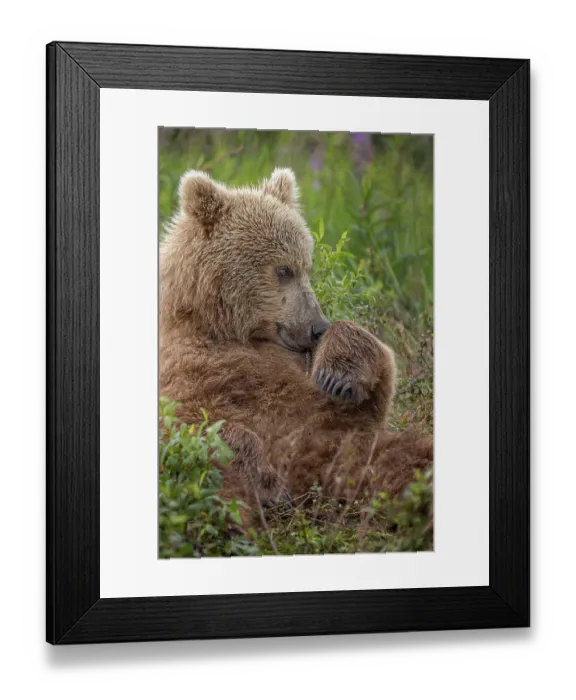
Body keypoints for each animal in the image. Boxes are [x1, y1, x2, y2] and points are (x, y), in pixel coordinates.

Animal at [159, 167, 433, 516]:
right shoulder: (186, 370)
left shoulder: (332, 411)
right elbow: (190, 424)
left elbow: (374, 385)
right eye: (283, 270)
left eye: (306, 266)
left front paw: (337, 375)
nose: (318, 327)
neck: (222, 327)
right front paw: (270, 485)